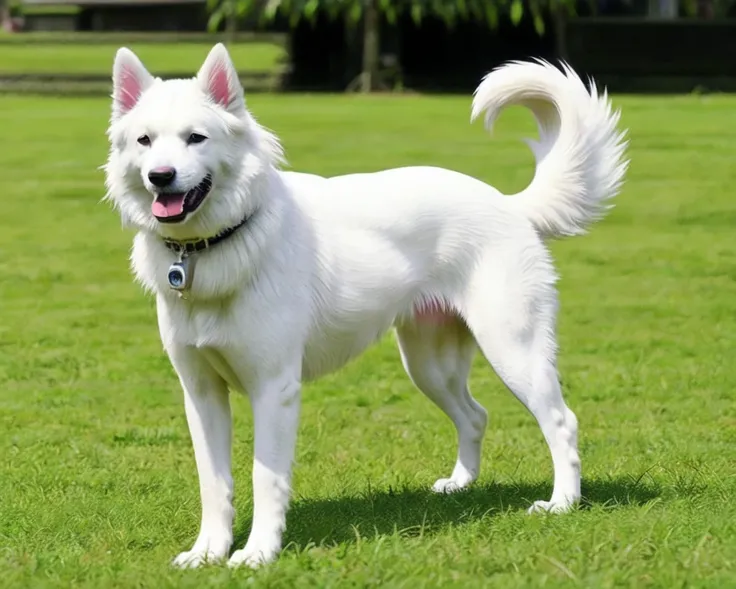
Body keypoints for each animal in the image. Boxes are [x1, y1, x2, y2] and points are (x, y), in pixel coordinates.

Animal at [105, 43, 628, 568]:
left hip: (513, 349)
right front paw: (208, 552)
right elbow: (214, 484)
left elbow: (265, 477)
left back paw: (562, 503)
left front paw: (258, 554)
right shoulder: (201, 393)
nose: (160, 177)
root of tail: (508, 203)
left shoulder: (274, 389)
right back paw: (461, 485)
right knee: (475, 415)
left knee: (561, 422)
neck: (212, 245)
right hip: (429, 365)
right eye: (145, 141)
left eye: (196, 138)